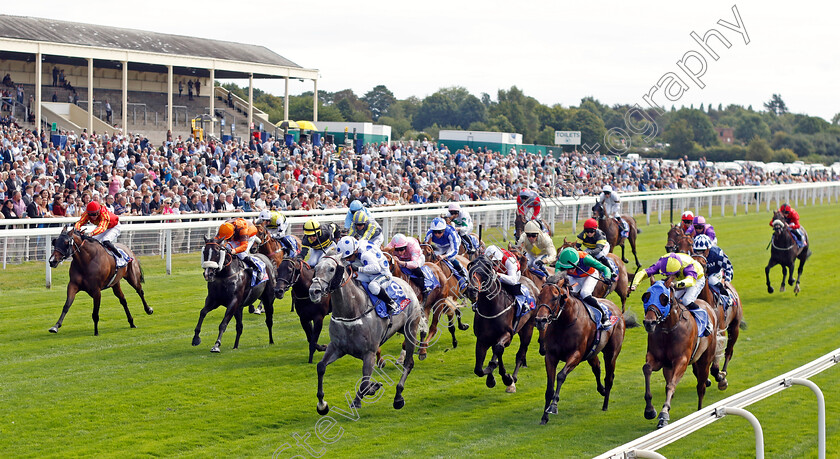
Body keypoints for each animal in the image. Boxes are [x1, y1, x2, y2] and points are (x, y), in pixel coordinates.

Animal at [310, 256, 426, 416]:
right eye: (315, 268)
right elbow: (321, 367)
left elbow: (364, 382)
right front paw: (322, 405)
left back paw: (398, 397)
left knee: (408, 363)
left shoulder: (369, 352)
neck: (352, 312)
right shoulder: (337, 347)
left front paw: (358, 400)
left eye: (331, 269)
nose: (313, 291)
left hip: (410, 330)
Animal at [466, 253, 540, 394]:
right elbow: (479, 369)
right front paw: (490, 377)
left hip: (528, 327)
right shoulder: (482, 339)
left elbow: (498, 349)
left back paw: (513, 380)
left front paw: (506, 378)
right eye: (470, 270)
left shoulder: (507, 334)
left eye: (485, 272)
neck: (491, 308)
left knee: (520, 353)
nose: (471, 291)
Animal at [540, 276, 624, 424]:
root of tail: (615, 307)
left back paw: (605, 404)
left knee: (609, 377)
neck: (565, 322)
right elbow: (550, 387)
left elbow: (561, 375)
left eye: (555, 298)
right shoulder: (550, 356)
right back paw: (602, 390)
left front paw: (553, 406)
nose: (540, 320)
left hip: (611, 353)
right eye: (539, 296)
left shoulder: (576, 355)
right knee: (597, 368)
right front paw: (544, 417)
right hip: (592, 352)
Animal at [640, 280, 720, 432]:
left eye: (664, 298)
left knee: (701, 387)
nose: (649, 322)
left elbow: (671, 385)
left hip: (705, 359)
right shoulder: (656, 358)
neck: (668, 331)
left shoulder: (681, 360)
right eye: (645, 297)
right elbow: (647, 369)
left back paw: (699, 411)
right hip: (668, 367)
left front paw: (664, 413)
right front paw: (649, 410)